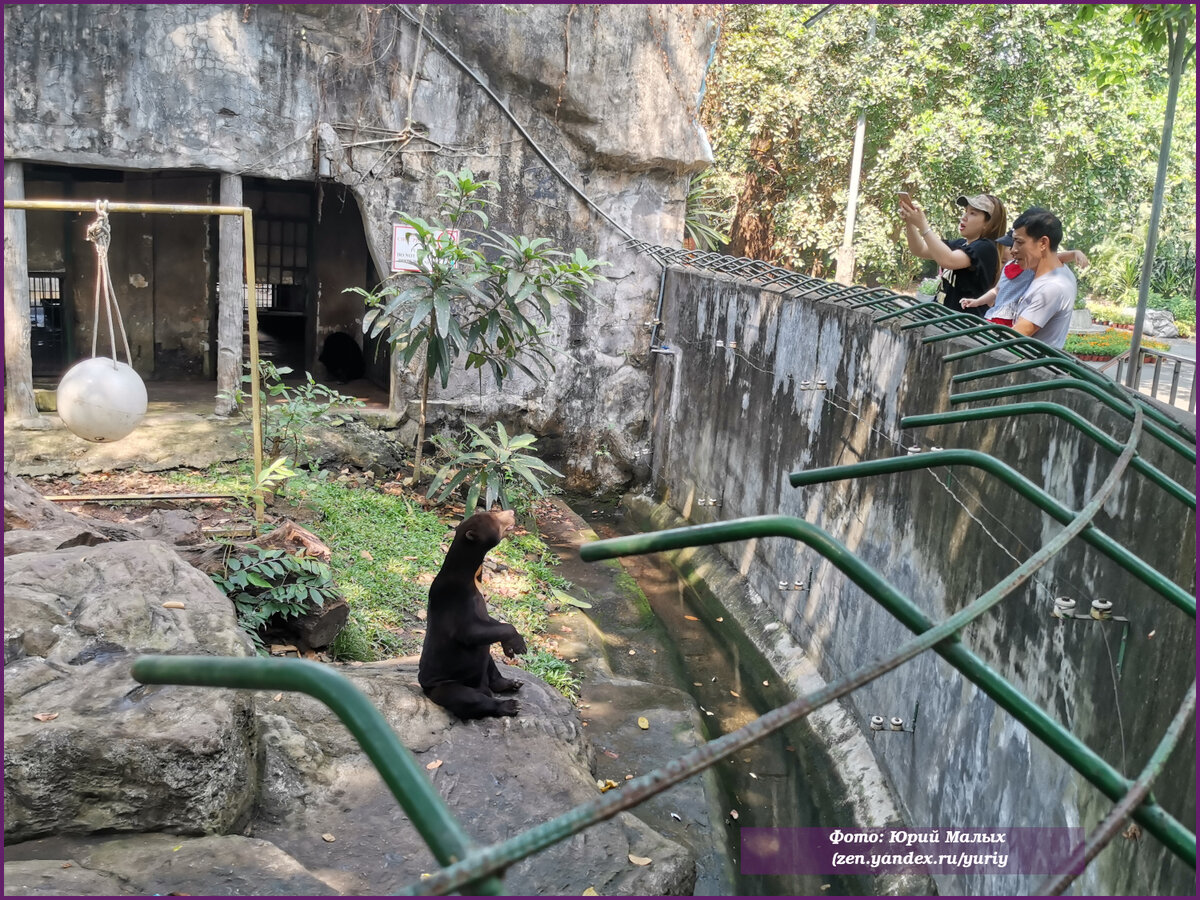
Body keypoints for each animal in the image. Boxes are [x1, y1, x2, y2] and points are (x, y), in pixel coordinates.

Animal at [420, 511, 528, 724]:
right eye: (494, 518)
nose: (511, 512)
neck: (471, 576)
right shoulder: (455, 601)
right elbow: (470, 632)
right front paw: (519, 645)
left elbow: (489, 623)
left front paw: (510, 648)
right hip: (444, 686)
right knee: (470, 698)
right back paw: (509, 705)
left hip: (483, 664)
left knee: (490, 666)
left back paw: (511, 683)